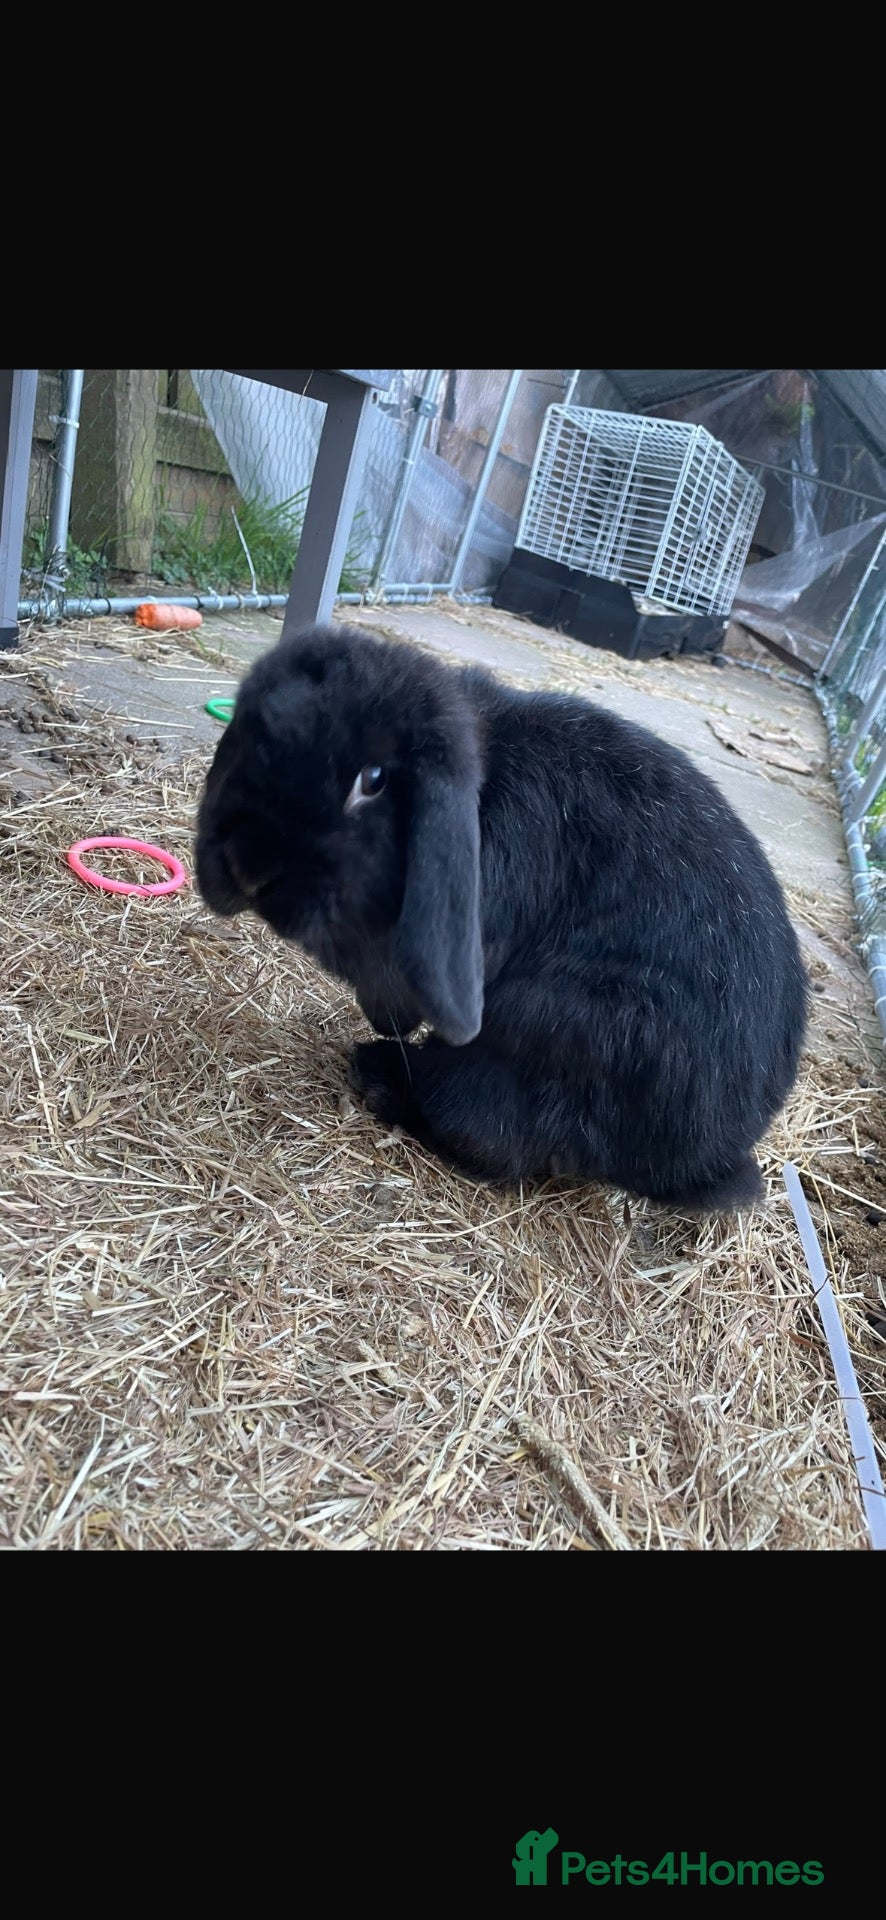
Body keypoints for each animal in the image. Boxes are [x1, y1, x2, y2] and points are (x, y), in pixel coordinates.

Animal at [195, 623, 808, 1212]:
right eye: (249, 733)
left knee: (483, 1134)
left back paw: (379, 1075)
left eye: (373, 780)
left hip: (550, 1032)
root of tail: (706, 1161)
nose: (247, 864)